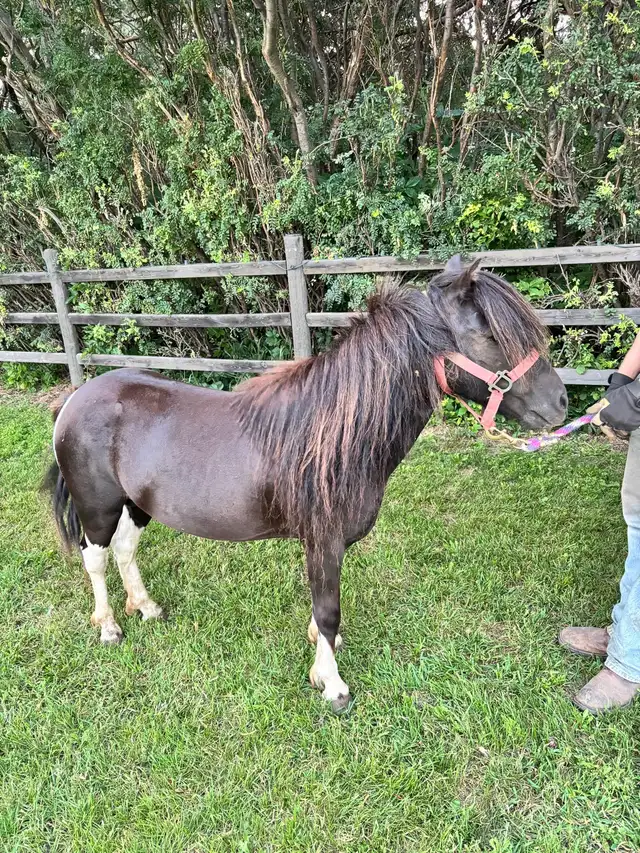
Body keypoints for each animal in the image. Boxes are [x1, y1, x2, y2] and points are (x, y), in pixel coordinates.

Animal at [45, 257, 568, 713]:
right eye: (489, 335)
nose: (561, 402)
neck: (335, 435)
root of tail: (75, 400)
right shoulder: (323, 540)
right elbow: (328, 608)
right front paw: (332, 684)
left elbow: (323, 614)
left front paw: (322, 650)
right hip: (98, 505)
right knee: (95, 557)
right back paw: (109, 627)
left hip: (136, 504)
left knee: (125, 549)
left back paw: (146, 607)